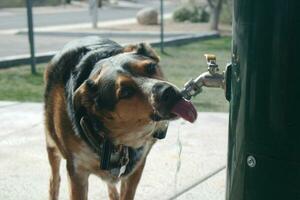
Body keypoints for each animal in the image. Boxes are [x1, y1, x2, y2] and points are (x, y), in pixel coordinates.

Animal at [43, 36, 196, 199]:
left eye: (150, 67)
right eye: (125, 92)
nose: (167, 91)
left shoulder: (136, 168)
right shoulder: (77, 172)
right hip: (51, 146)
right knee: (54, 180)